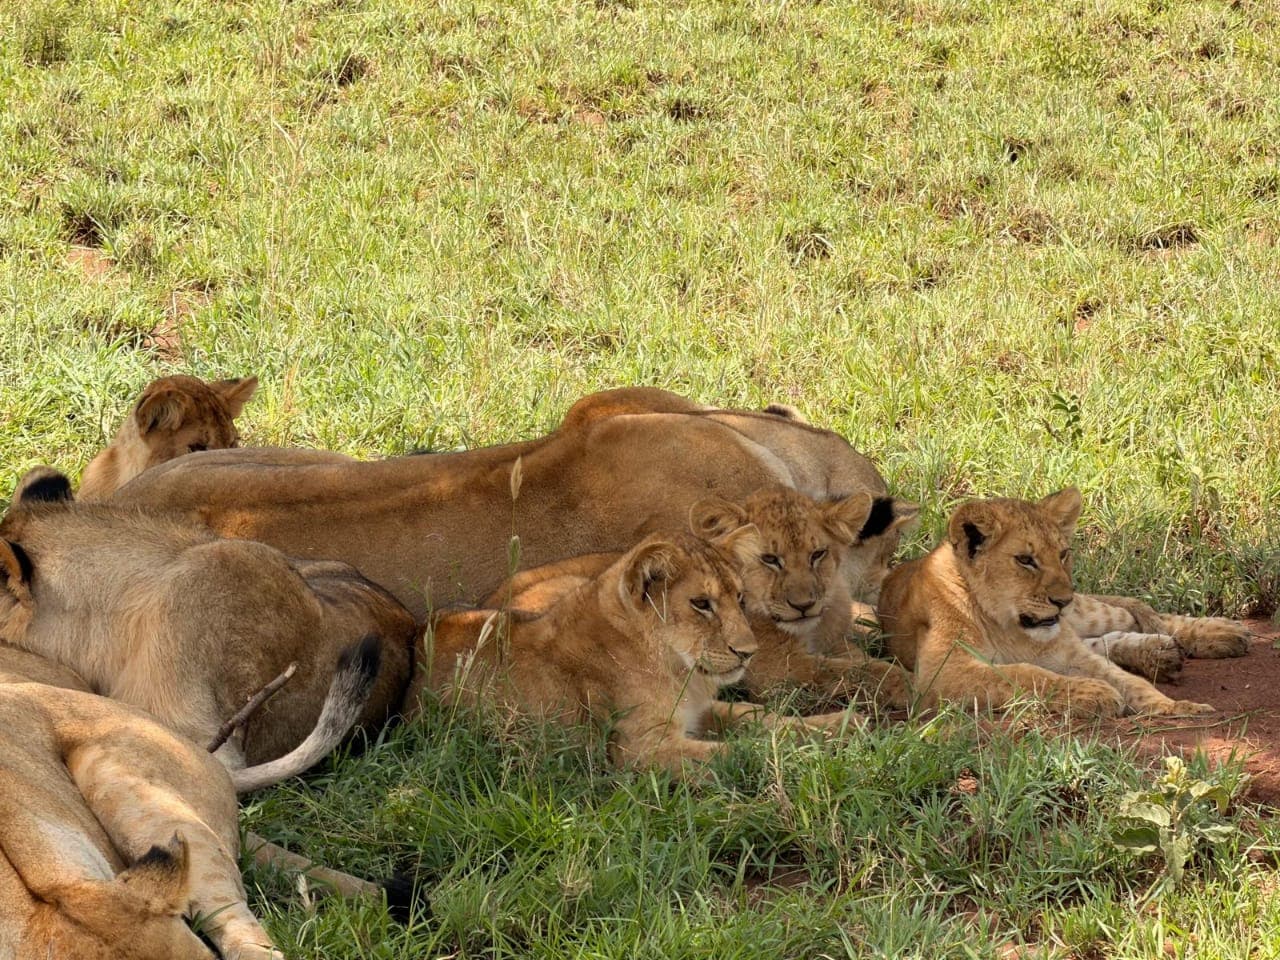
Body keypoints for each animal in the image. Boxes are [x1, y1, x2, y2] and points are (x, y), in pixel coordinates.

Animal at [410, 529, 857, 775]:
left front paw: (840, 725)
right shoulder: (639, 750)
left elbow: (758, 718)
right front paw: (820, 758)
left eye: (741, 598)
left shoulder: (698, 712)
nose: (748, 652)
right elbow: (741, 752)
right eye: (701, 604)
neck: (679, 670)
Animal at [878, 488, 1214, 718]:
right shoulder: (941, 671)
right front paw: (1095, 692)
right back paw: (1161, 653)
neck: (1007, 627)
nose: (1063, 601)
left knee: (1126, 616)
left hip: (1086, 613)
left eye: (1063, 554)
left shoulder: (1071, 654)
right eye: (1026, 560)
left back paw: (1217, 634)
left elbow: (1127, 680)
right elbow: (1023, 673)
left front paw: (1176, 706)